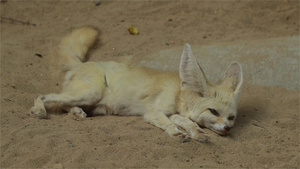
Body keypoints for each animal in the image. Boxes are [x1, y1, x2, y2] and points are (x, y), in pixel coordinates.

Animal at [30, 26, 243, 143]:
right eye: (213, 112)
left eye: (231, 118)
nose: (227, 129)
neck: (178, 94)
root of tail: (82, 64)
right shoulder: (155, 112)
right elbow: (170, 123)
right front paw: (177, 133)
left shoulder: (174, 113)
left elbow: (189, 123)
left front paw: (197, 133)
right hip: (91, 93)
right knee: (45, 96)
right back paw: (39, 110)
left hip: (91, 101)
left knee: (63, 103)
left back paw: (76, 112)